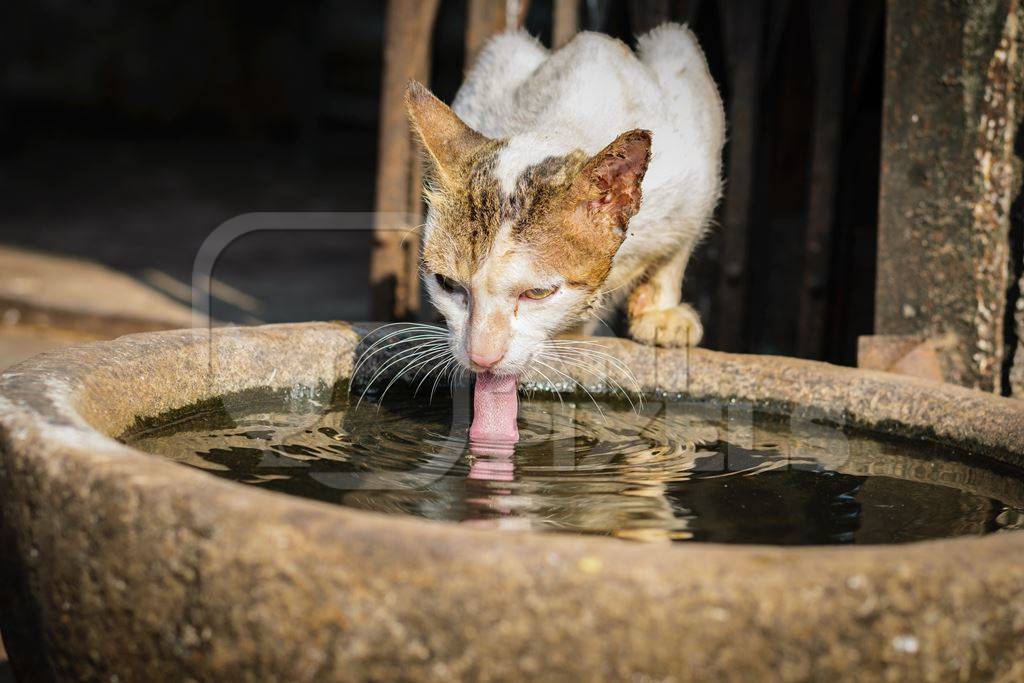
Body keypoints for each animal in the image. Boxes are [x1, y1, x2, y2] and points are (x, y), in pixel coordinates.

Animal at [403, 22, 724, 444]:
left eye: (538, 293)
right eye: (447, 284)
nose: (482, 357)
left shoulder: (696, 168)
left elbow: (680, 246)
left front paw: (660, 311)